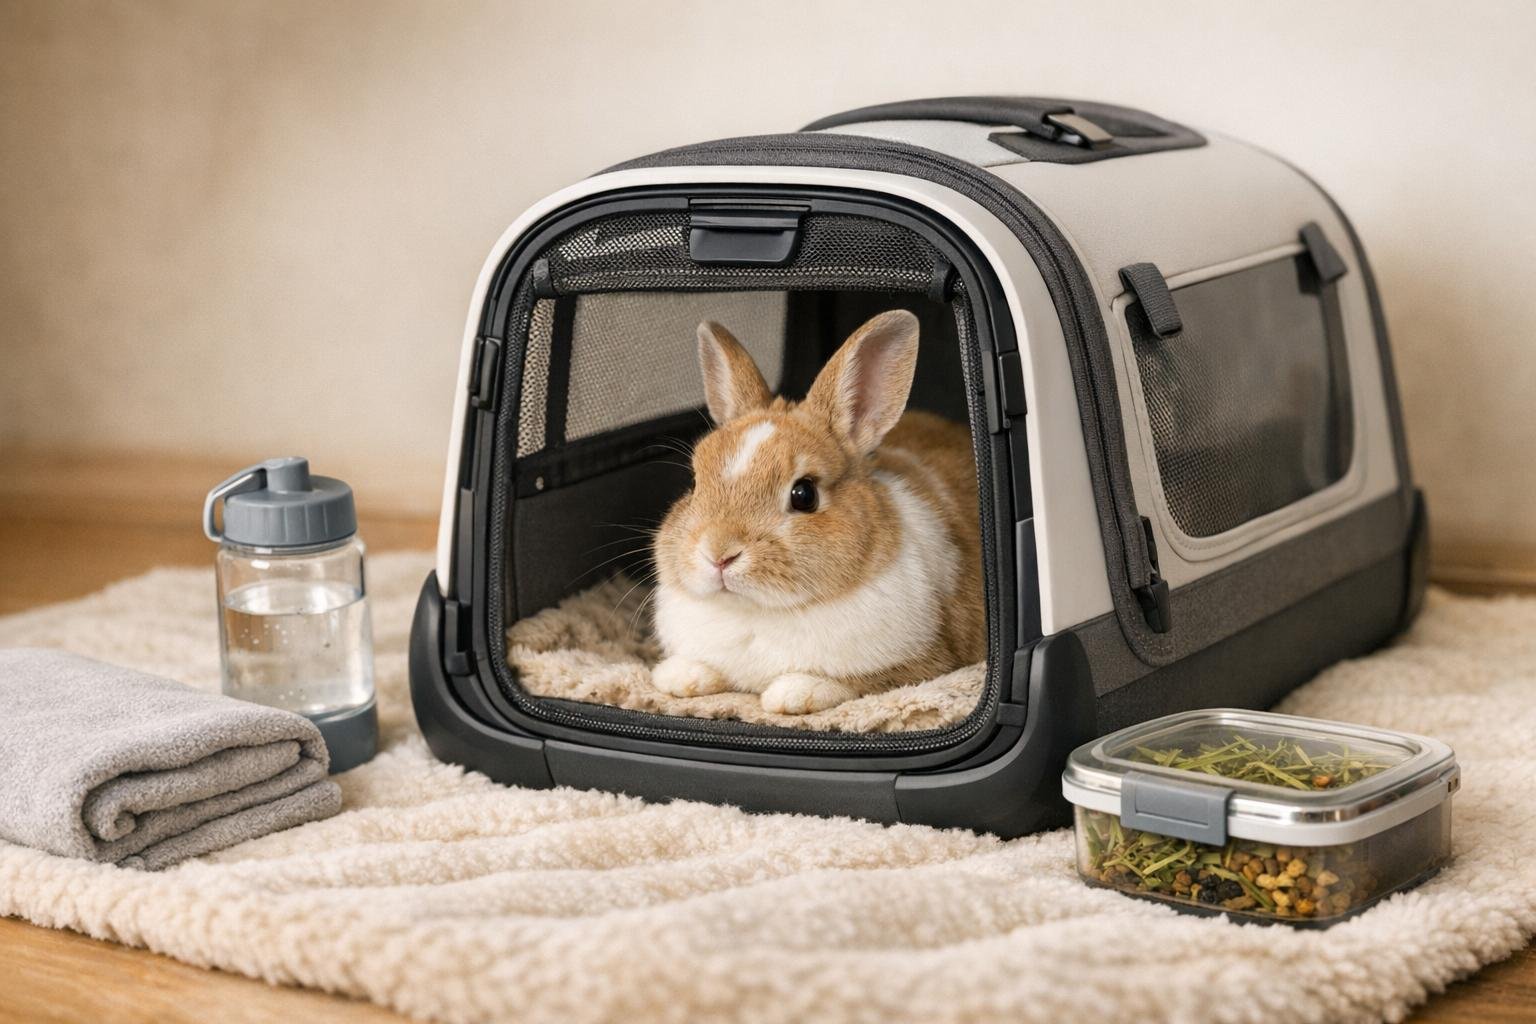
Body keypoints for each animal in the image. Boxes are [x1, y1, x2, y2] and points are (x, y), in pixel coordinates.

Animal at [650, 309, 984, 715]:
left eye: (804, 494)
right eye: (695, 482)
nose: (718, 553)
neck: (756, 611)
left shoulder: (925, 661)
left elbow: (858, 682)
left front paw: (792, 694)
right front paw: (676, 677)